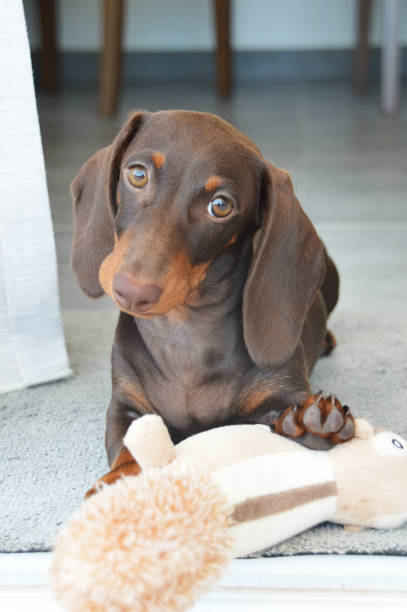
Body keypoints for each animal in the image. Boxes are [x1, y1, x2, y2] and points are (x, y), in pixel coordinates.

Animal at [71, 110, 356, 494]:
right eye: (137, 174)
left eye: (220, 206)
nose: (131, 290)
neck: (185, 332)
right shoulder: (126, 405)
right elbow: (132, 444)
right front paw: (123, 480)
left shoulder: (281, 393)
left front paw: (317, 421)